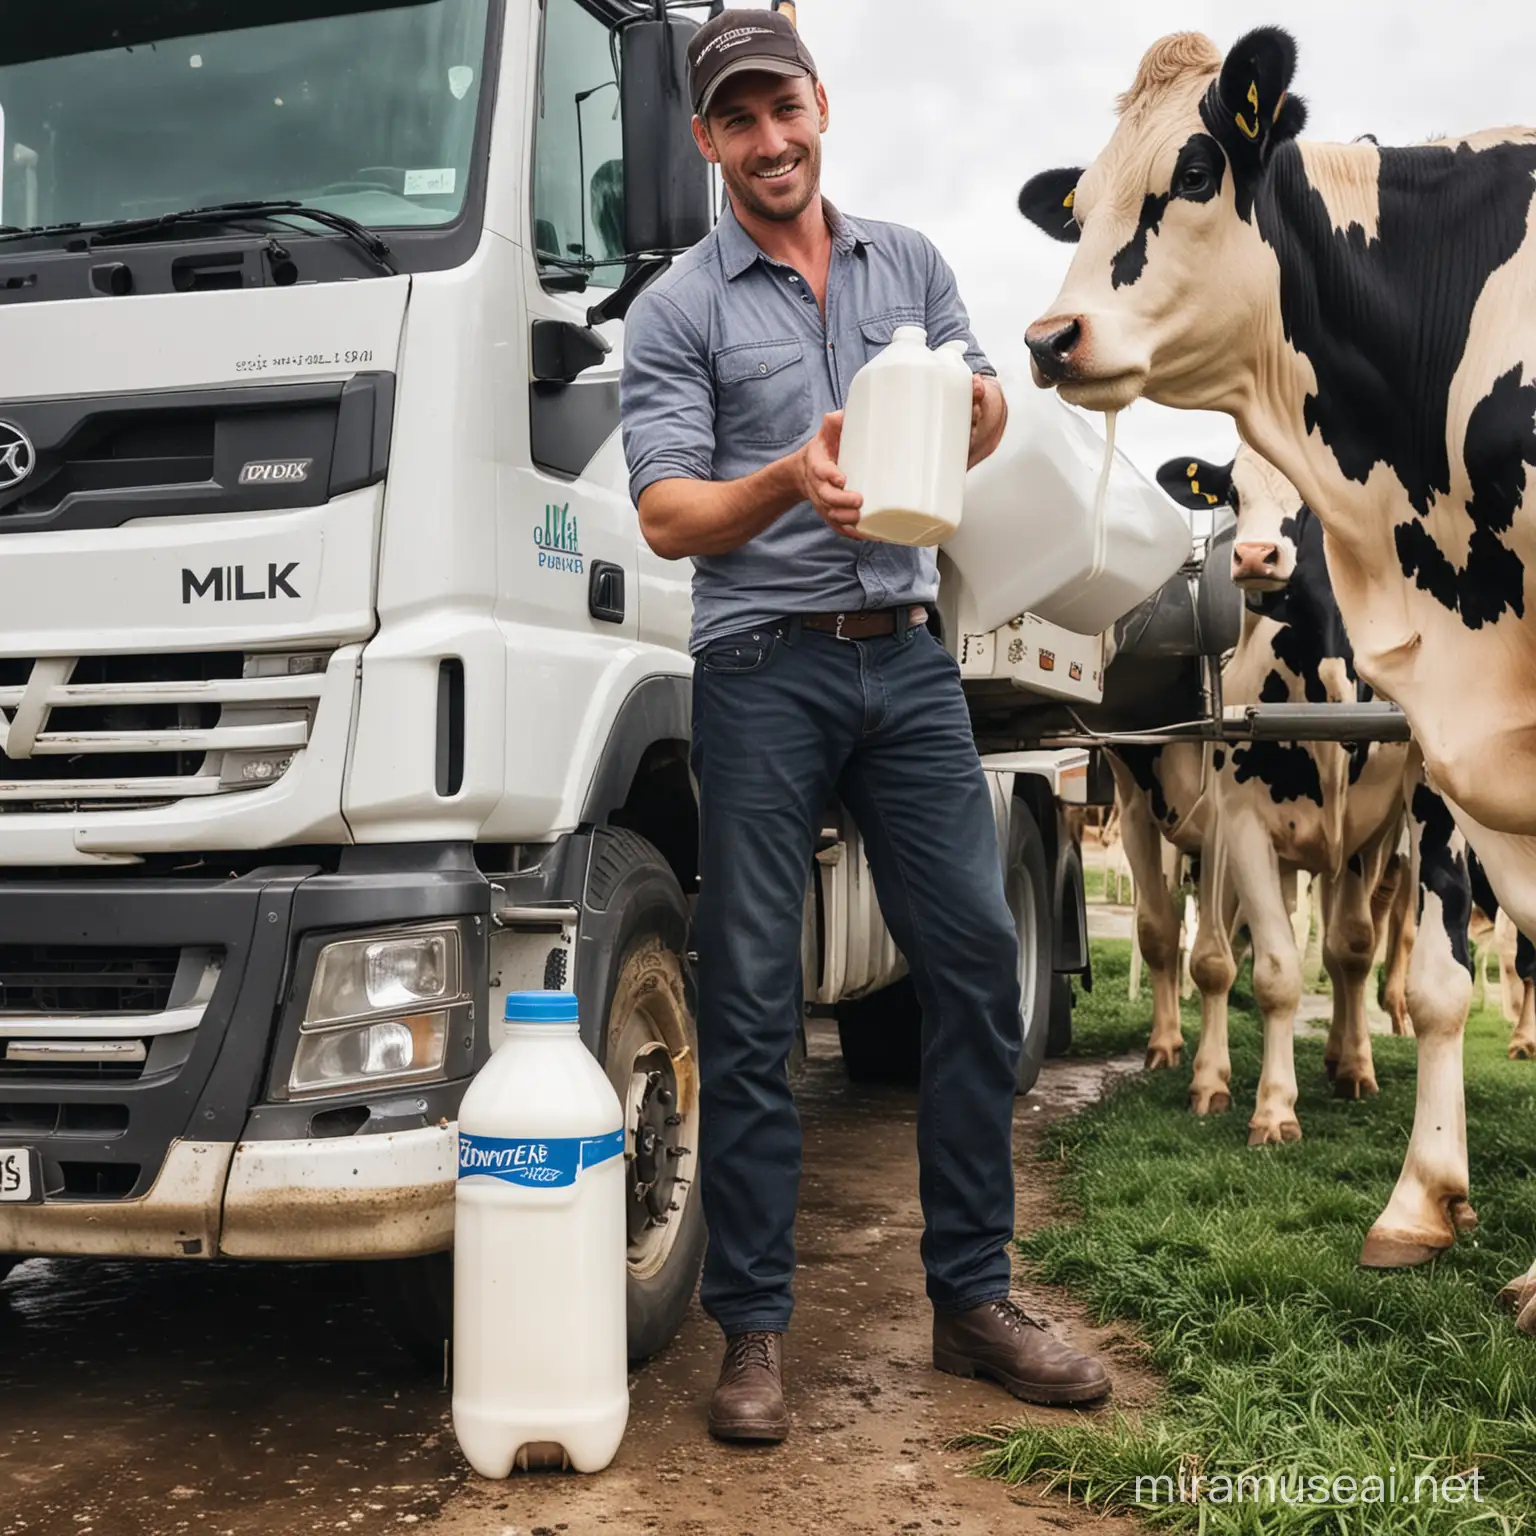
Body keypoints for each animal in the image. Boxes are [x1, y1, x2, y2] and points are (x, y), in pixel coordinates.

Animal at [1019, 29, 1536, 1333]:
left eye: (1196, 166)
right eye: (1079, 205)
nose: (1049, 339)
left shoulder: (1431, 787)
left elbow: (1392, 965)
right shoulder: (1242, 812)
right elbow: (1258, 966)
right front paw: (1262, 1106)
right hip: (1153, 805)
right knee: (1182, 942)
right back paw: (1191, 1057)